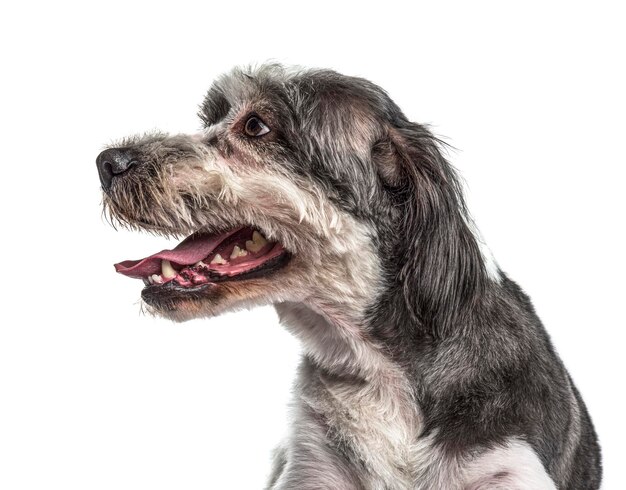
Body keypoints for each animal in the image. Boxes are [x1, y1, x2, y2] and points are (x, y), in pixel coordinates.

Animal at [96, 65, 600, 490]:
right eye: (210, 118)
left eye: (256, 126)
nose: (107, 161)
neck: (378, 372)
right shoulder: (311, 467)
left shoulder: (506, 463)